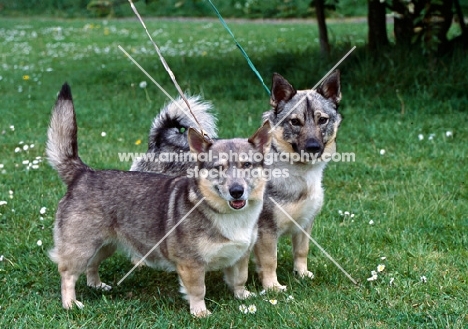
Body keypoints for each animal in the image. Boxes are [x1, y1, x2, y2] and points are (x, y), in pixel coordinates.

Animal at [46, 82, 270, 316]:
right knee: (68, 274)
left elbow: (240, 280)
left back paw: (96, 285)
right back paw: (70, 303)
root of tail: (83, 173)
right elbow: (198, 290)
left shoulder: (240, 257)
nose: (237, 191)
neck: (227, 214)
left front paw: (244, 297)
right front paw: (200, 313)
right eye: (219, 167)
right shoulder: (192, 264)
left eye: (247, 165)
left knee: (91, 265)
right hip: (81, 247)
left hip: (105, 245)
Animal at [130, 71, 342, 290]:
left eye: (322, 120)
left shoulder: (304, 225)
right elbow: (270, 261)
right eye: (295, 122)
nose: (313, 147)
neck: (299, 174)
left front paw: (302, 274)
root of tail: (159, 142)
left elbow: (301, 252)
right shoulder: (266, 231)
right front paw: (272, 287)